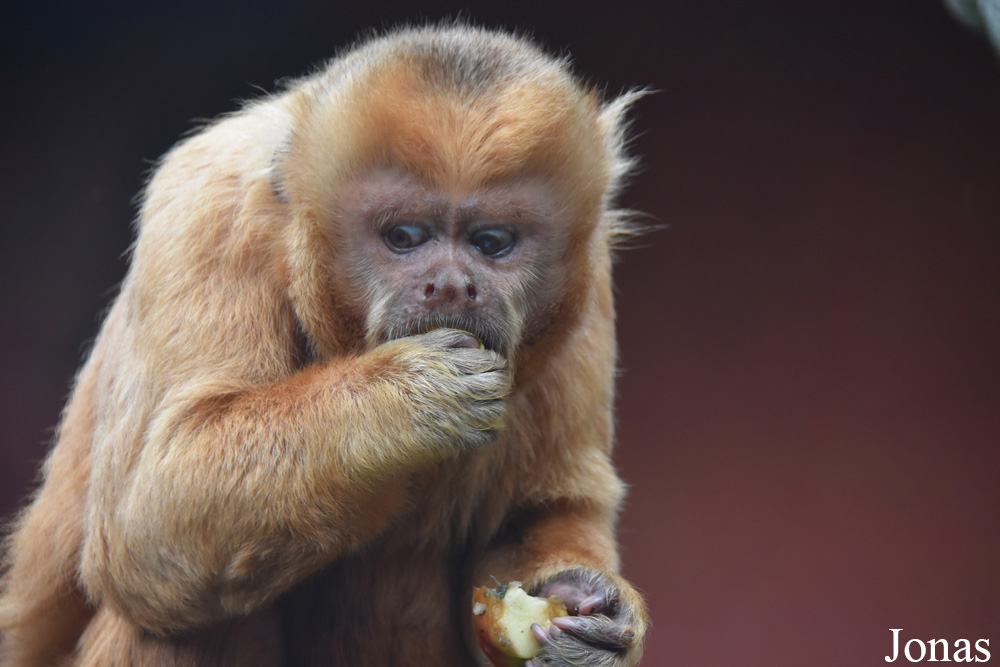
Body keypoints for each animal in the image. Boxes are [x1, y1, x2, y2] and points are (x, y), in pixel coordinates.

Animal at [0, 23, 648, 664]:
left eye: (491, 243)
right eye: (403, 237)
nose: (451, 286)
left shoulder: (591, 281)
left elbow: (543, 515)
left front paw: (588, 603)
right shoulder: (210, 216)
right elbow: (146, 520)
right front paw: (405, 402)